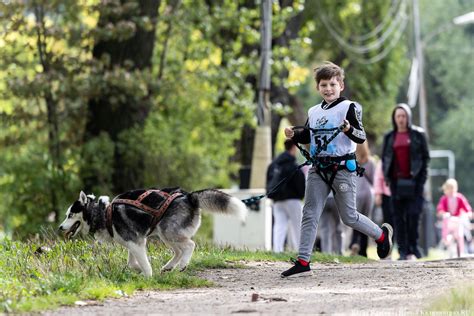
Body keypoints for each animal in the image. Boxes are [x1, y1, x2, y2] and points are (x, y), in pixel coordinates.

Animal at [59, 188, 248, 276]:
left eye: (70, 215)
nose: (60, 227)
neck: (104, 213)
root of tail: (189, 197)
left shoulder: (135, 242)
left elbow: (143, 263)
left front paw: (147, 276)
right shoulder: (135, 243)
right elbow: (132, 263)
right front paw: (138, 270)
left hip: (168, 231)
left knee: (190, 245)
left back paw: (182, 265)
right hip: (165, 235)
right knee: (178, 251)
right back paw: (169, 266)